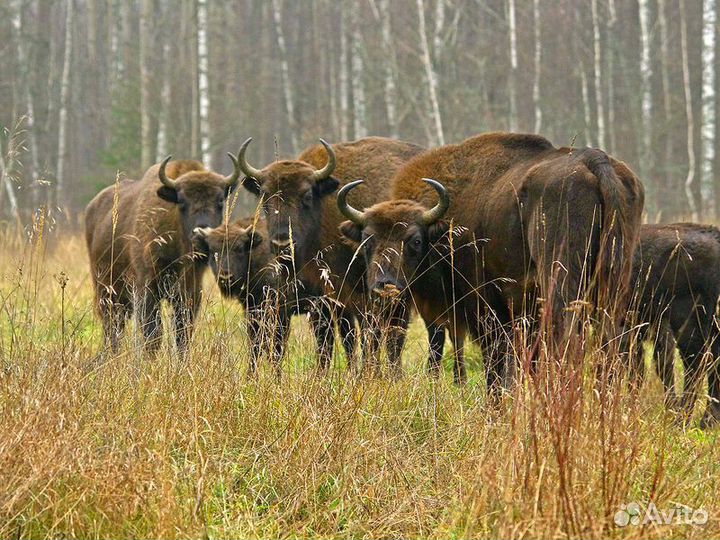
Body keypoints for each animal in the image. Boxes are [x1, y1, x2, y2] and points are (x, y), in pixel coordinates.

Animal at [84, 153, 242, 354]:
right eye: (182, 201)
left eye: (220, 201)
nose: (201, 233)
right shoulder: (147, 288)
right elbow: (153, 333)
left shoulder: (190, 292)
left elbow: (182, 334)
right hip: (106, 290)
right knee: (111, 326)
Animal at [194, 217, 358, 374]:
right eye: (213, 250)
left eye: (239, 249)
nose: (226, 276)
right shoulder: (252, 312)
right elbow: (255, 346)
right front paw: (251, 376)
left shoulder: (280, 313)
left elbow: (276, 350)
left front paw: (276, 377)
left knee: (343, 339)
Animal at [236, 135, 428, 374]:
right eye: (265, 195)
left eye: (307, 195)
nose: (282, 242)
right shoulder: (332, 297)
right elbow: (336, 339)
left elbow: (367, 336)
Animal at [338, 133, 648, 390]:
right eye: (367, 239)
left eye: (414, 240)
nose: (384, 284)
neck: (446, 226)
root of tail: (596, 162)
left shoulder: (485, 307)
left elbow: (495, 363)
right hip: (614, 284)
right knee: (615, 341)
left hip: (561, 282)